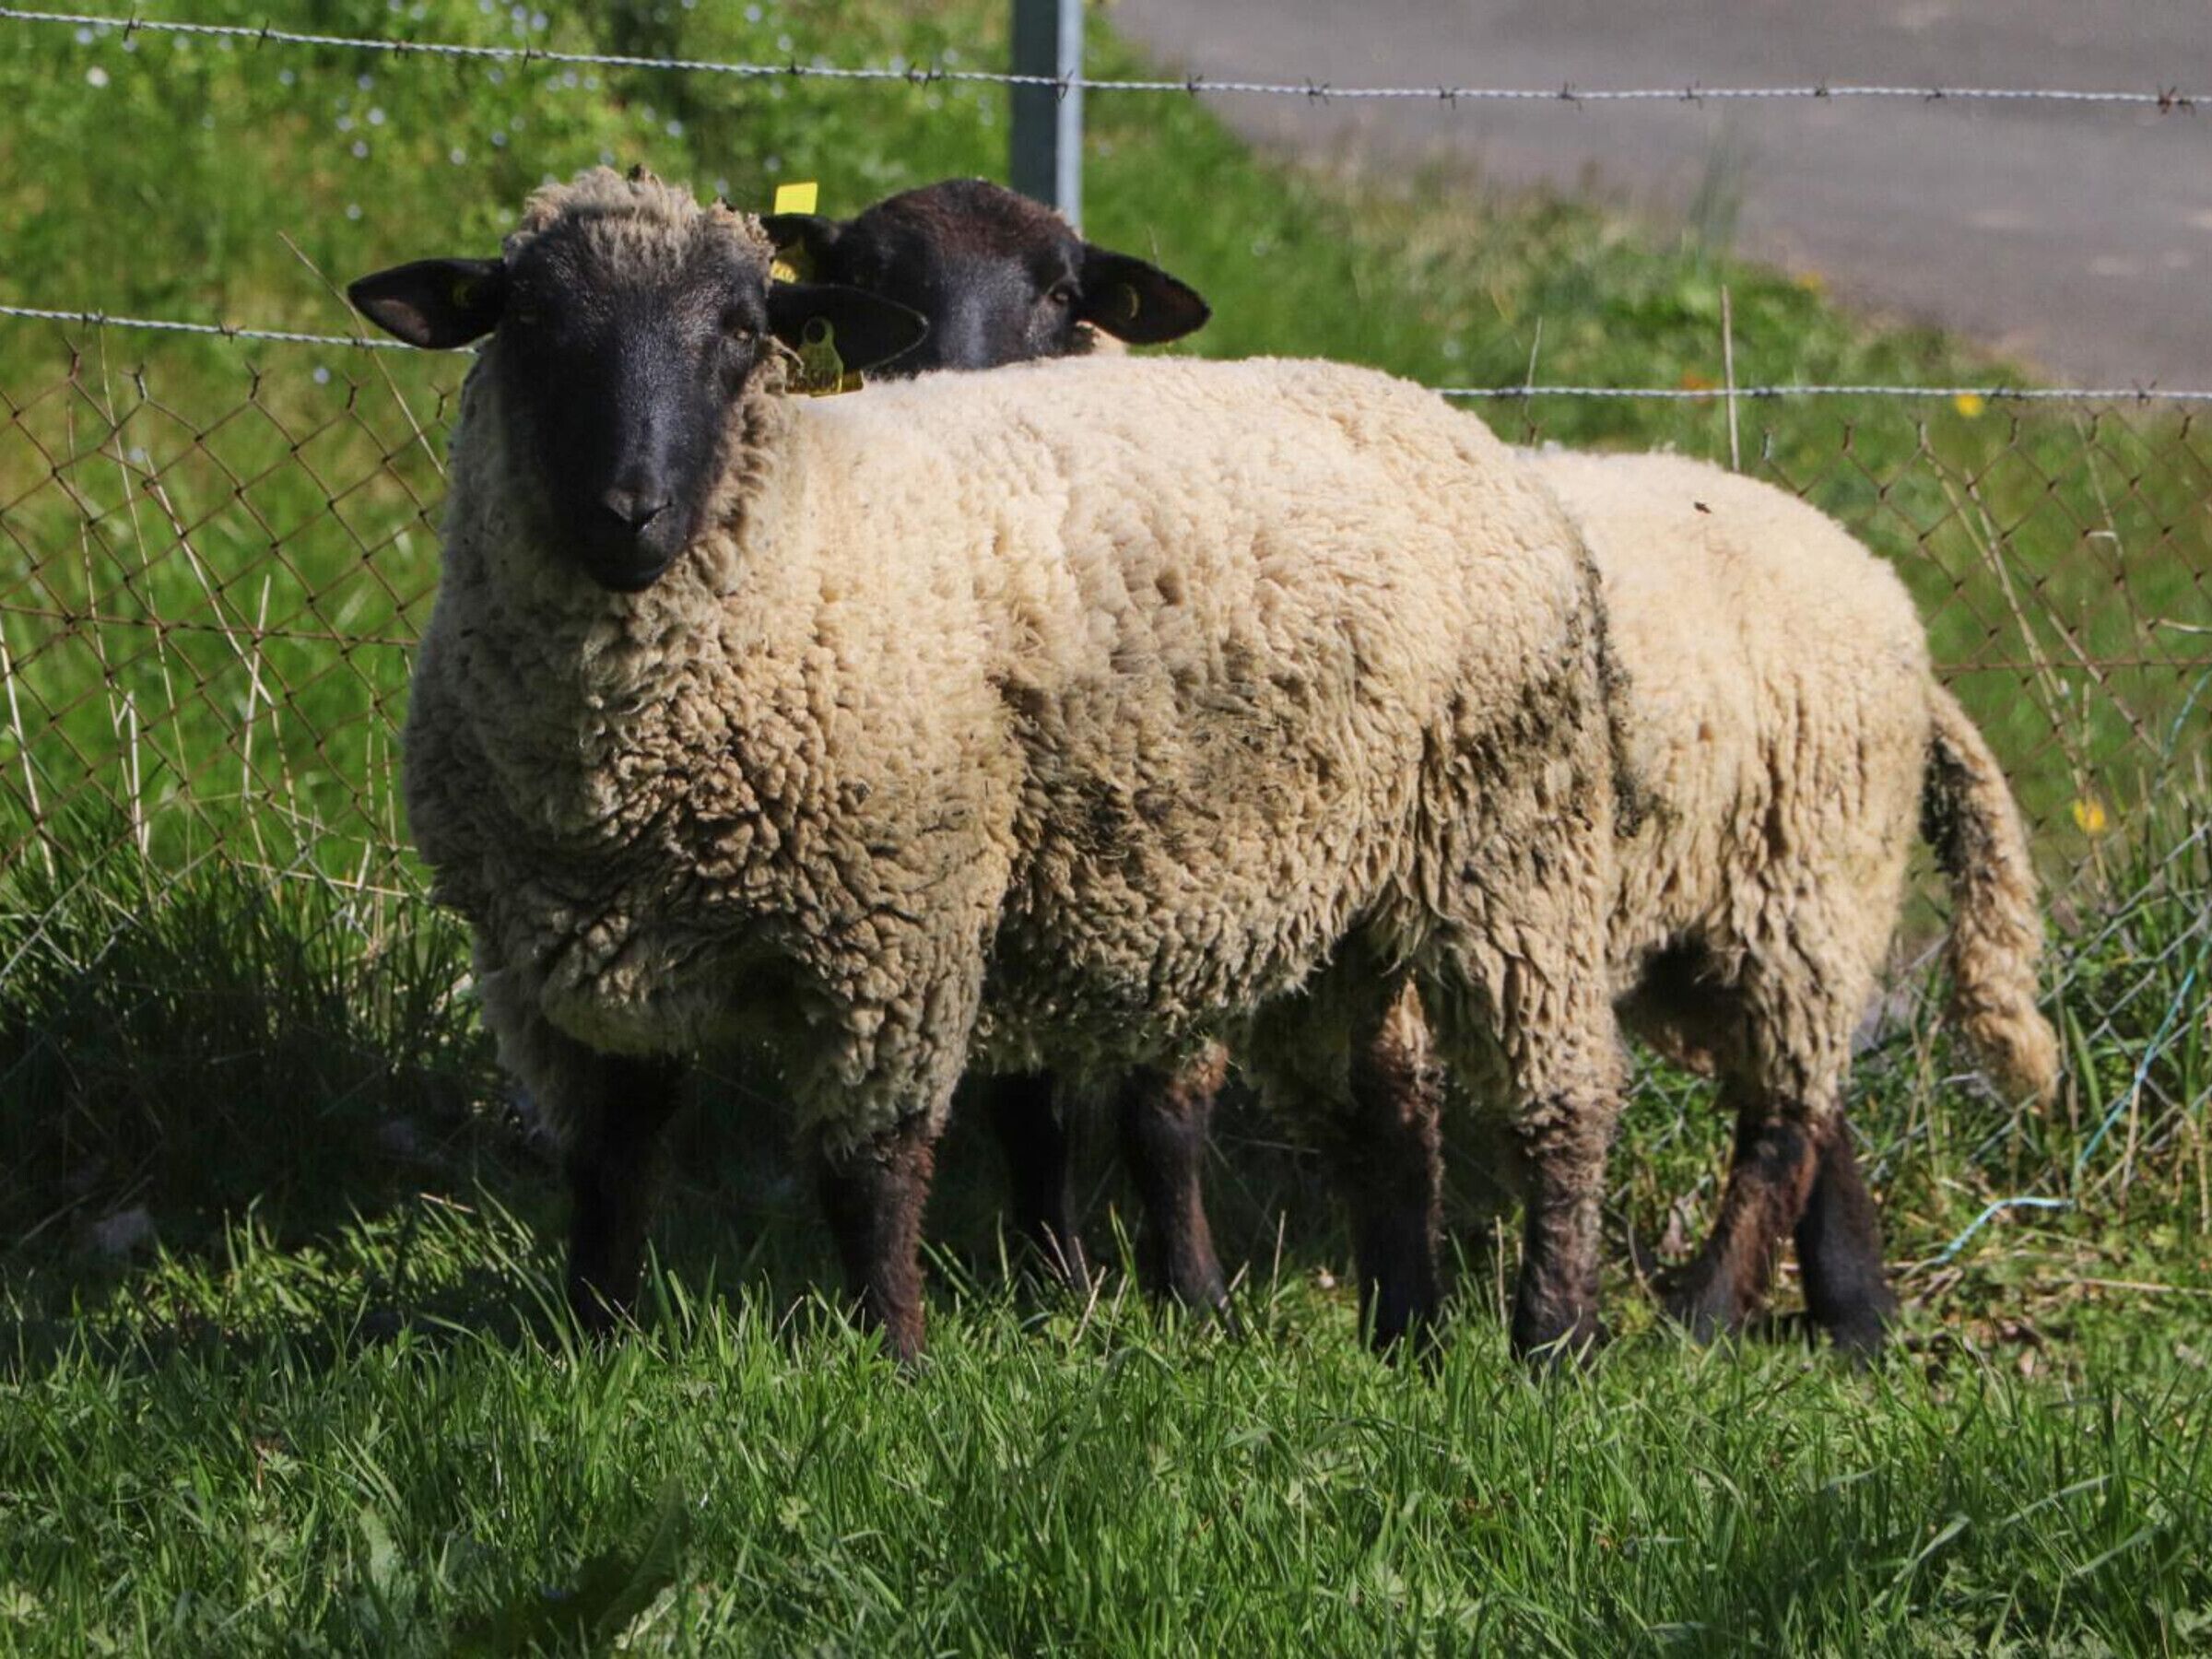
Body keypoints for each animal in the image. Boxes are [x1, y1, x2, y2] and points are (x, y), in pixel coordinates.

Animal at [347, 166, 1632, 1363]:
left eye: (741, 329)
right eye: (527, 319)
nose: (632, 509)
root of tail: (1435, 411)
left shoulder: (893, 929)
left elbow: (872, 1172)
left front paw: (893, 1361)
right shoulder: (565, 966)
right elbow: (611, 1169)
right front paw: (593, 1344)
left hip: (1509, 846)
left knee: (1557, 1105)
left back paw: (1550, 1342)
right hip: (1344, 894)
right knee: (1391, 1107)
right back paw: (1404, 1330)